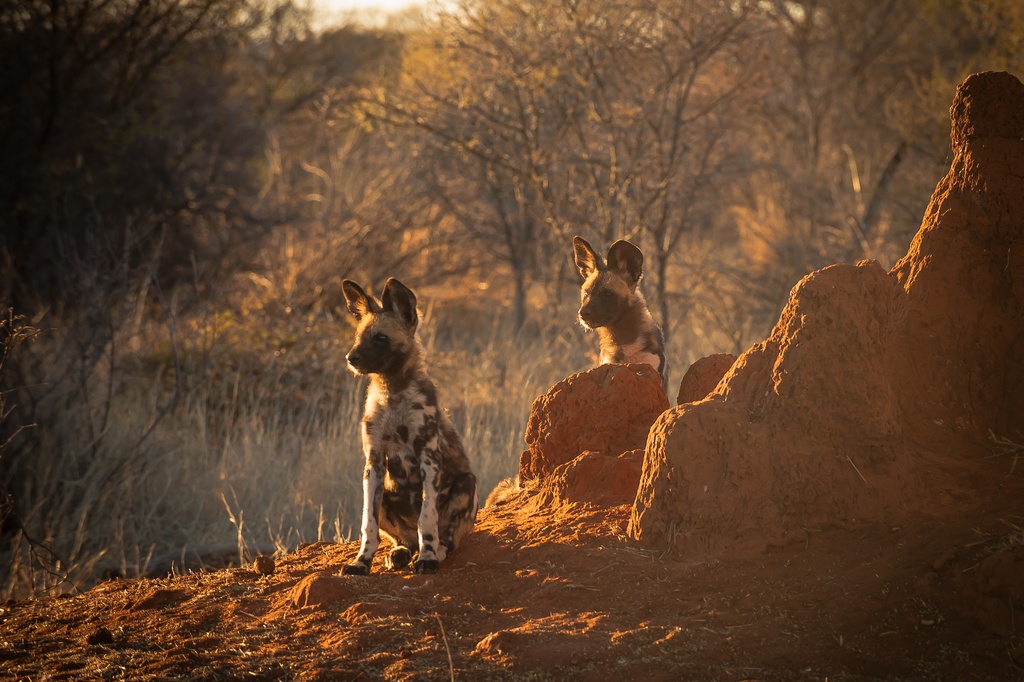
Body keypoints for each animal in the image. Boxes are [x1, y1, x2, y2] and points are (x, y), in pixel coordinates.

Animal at [339, 276, 475, 573]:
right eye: (358, 337)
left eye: (380, 338)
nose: (350, 358)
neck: (393, 393)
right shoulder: (374, 463)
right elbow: (368, 526)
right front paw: (361, 562)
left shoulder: (429, 458)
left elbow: (427, 518)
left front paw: (428, 558)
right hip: (381, 495)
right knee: (406, 539)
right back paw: (401, 552)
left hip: (466, 484)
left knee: (443, 537)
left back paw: (436, 552)